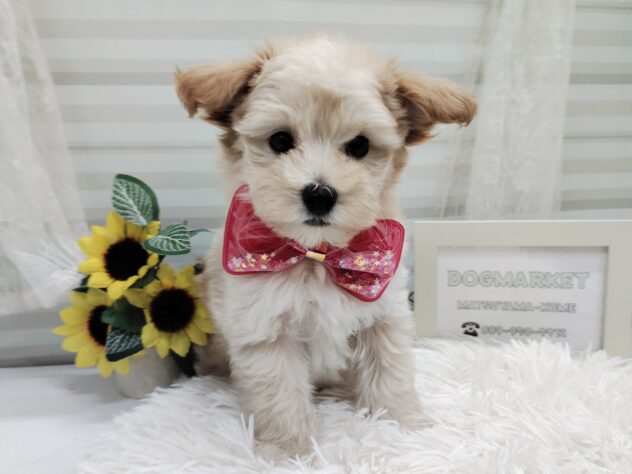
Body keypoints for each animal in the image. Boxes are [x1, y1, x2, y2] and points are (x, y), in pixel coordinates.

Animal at [175, 37, 476, 455]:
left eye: (360, 146)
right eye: (280, 140)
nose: (319, 194)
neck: (318, 254)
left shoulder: (385, 313)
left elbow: (390, 371)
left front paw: (403, 425)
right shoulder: (265, 329)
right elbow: (280, 393)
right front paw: (288, 450)